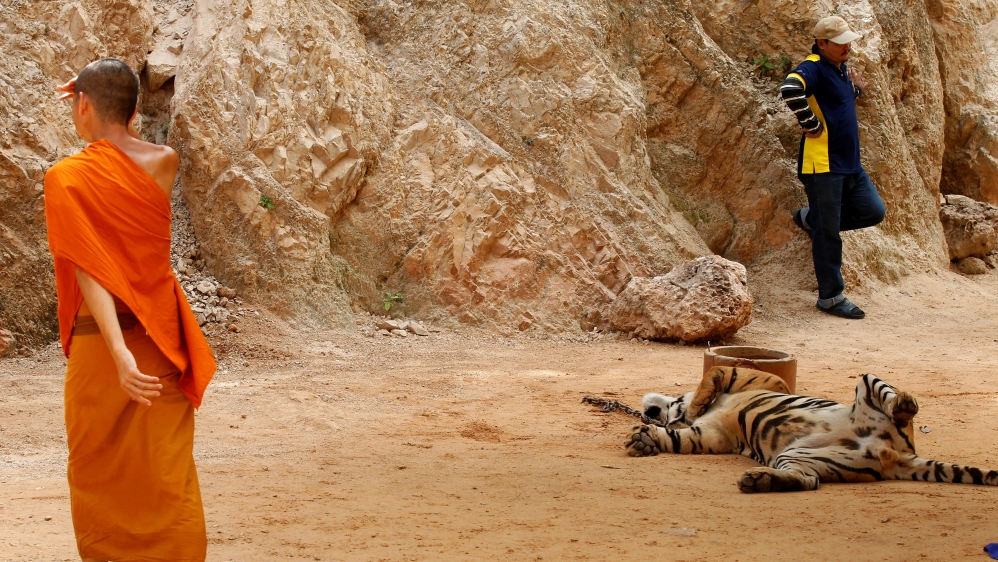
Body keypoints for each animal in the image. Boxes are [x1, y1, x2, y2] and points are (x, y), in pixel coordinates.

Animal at [626, 366, 998, 492]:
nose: (646, 408)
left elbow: (713, 373)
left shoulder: (764, 379)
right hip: (799, 456)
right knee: (809, 481)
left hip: (867, 381)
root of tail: (897, 453)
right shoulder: (712, 436)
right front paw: (644, 440)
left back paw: (905, 404)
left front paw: (695, 403)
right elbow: (680, 439)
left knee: (898, 407)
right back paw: (760, 481)